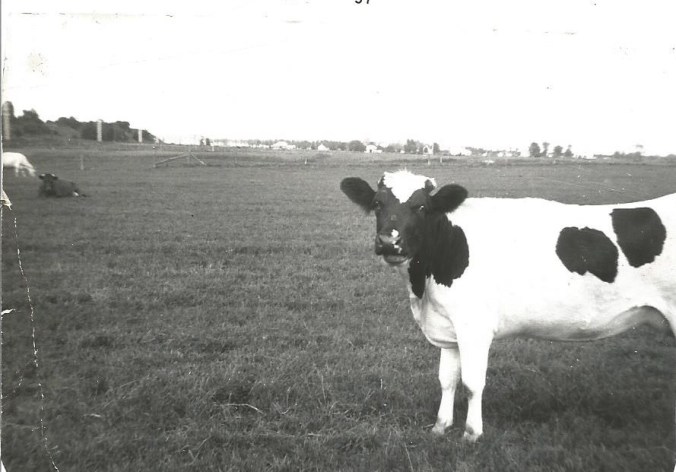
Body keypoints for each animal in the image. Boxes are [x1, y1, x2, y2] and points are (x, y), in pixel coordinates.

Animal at [341, 169, 675, 442]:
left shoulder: (474, 327)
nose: (389, 241)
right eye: (377, 204)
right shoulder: (449, 326)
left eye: (421, 207)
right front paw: (440, 427)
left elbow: (472, 382)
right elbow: (447, 380)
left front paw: (472, 433)